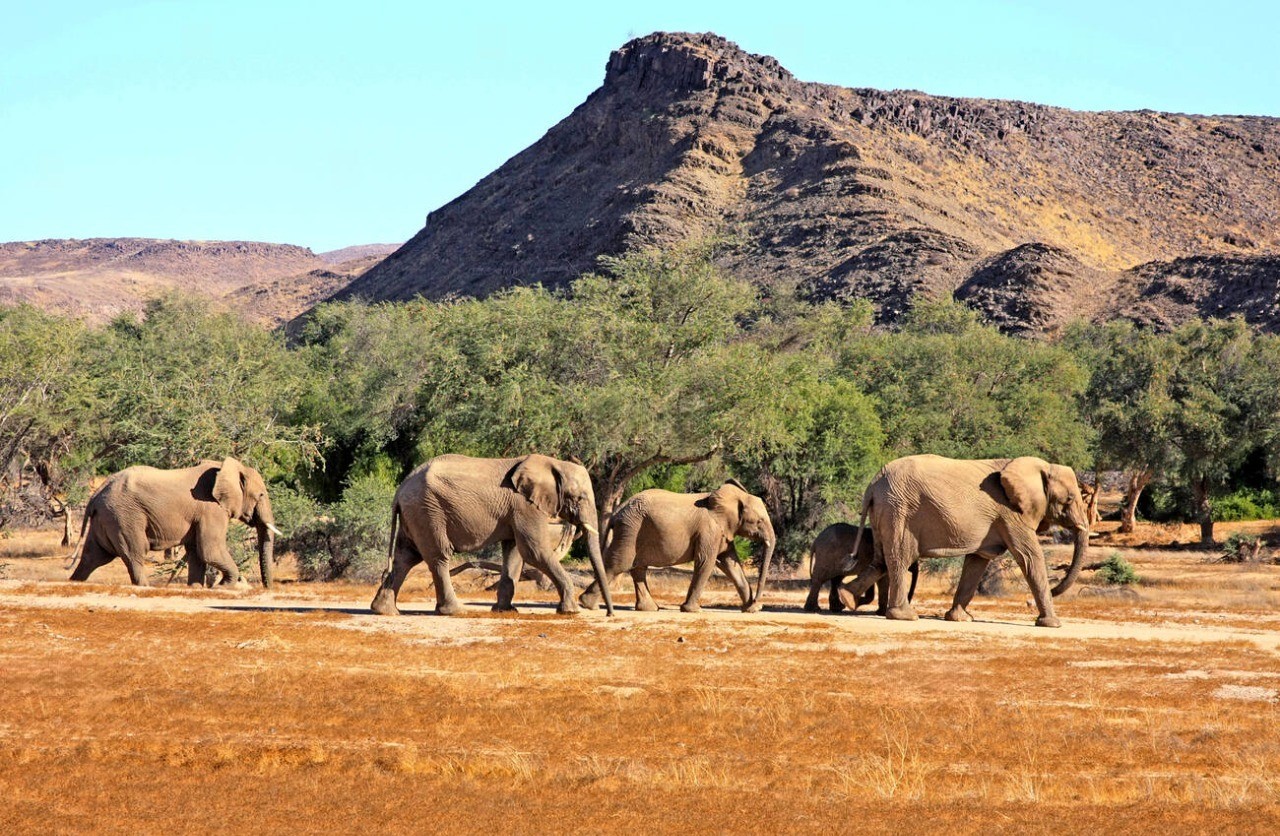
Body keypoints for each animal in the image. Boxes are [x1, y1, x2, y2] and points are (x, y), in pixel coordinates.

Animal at [69, 458, 280, 587]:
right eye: (261, 495)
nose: (267, 588)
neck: (226, 467)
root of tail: (96, 494)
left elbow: (196, 551)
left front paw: (196, 587)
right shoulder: (211, 509)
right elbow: (209, 549)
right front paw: (223, 586)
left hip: (106, 518)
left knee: (93, 556)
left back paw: (74, 582)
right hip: (123, 517)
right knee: (134, 553)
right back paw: (145, 587)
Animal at [370, 453, 615, 617]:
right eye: (580, 497)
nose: (609, 614)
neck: (554, 464)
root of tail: (400, 490)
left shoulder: (515, 510)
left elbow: (514, 553)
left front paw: (506, 610)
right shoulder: (524, 505)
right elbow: (534, 551)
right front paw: (571, 612)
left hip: (415, 513)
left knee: (406, 556)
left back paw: (384, 611)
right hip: (428, 511)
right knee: (438, 557)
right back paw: (455, 611)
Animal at [578, 479, 776, 613]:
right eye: (759, 521)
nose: (757, 602)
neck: (736, 496)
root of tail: (617, 511)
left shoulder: (723, 532)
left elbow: (731, 565)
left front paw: (752, 610)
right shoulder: (709, 530)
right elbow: (706, 562)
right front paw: (693, 610)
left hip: (633, 529)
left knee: (638, 568)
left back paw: (649, 609)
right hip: (630, 529)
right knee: (619, 564)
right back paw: (587, 604)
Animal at [841, 455, 1090, 627]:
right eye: (1069, 499)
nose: (1026, 603)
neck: (1041, 466)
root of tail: (873, 485)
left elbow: (977, 562)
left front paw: (960, 618)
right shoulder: (1010, 514)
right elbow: (1029, 557)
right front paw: (1052, 624)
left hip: (885, 511)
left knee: (881, 560)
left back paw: (847, 599)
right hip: (899, 511)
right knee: (900, 559)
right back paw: (906, 616)